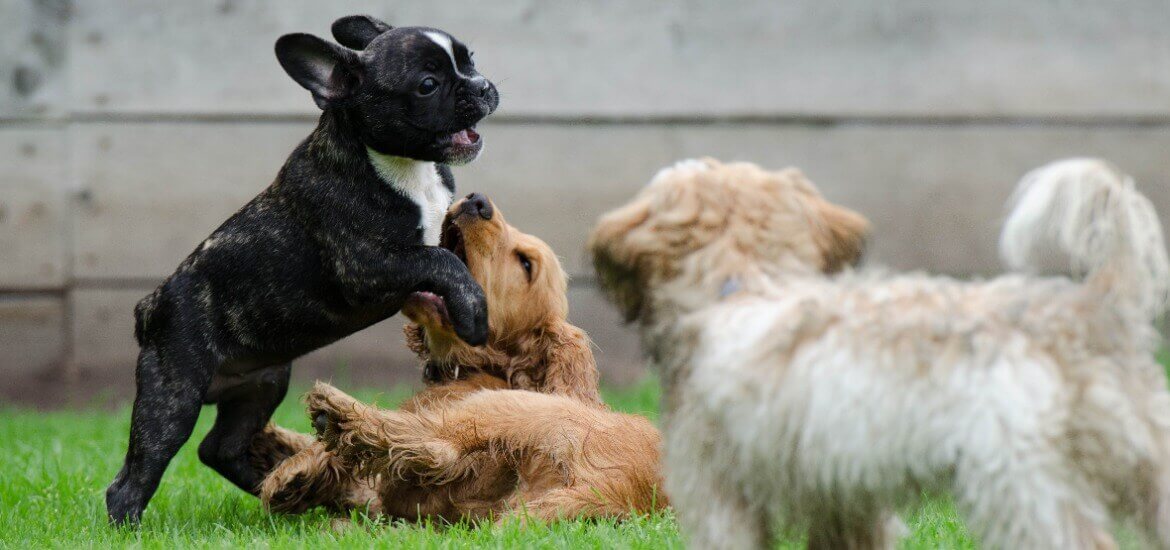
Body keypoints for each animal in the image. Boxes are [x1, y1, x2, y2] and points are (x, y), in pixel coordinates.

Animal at [104, 15, 498, 524]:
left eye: (470, 60)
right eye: (427, 85)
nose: (483, 84)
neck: (404, 166)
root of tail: (151, 305)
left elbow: (450, 255)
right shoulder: (368, 266)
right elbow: (439, 259)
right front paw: (473, 314)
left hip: (263, 384)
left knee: (220, 448)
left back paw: (280, 489)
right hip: (173, 396)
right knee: (137, 474)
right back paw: (133, 525)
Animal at [246, 194, 669, 524]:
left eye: (526, 264)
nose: (477, 201)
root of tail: (616, 488)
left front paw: (294, 468)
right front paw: (274, 444)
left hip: (506, 410)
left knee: (435, 446)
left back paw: (335, 413)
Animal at [589, 156, 1170, 547]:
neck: (746, 282)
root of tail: (1094, 308)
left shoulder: (720, 496)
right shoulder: (844, 503)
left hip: (1022, 486)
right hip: (1149, 470)